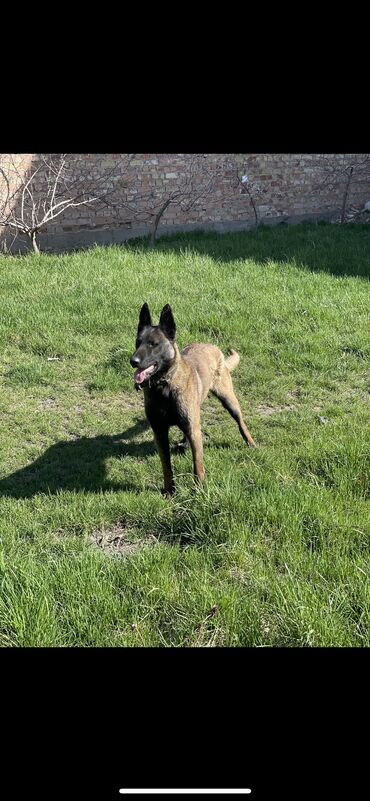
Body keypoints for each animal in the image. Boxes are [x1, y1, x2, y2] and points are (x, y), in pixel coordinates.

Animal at [131, 304, 258, 494]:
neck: (165, 386)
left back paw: (250, 441)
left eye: (154, 344)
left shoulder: (194, 431)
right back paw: (184, 444)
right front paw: (169, 491)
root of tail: (212, 346)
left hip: (228, 400)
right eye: (138, 342)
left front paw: (199, 490)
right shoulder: (159, 432)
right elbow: (166, 466)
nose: (133, 361)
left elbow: (197, 465)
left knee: (240, 422)